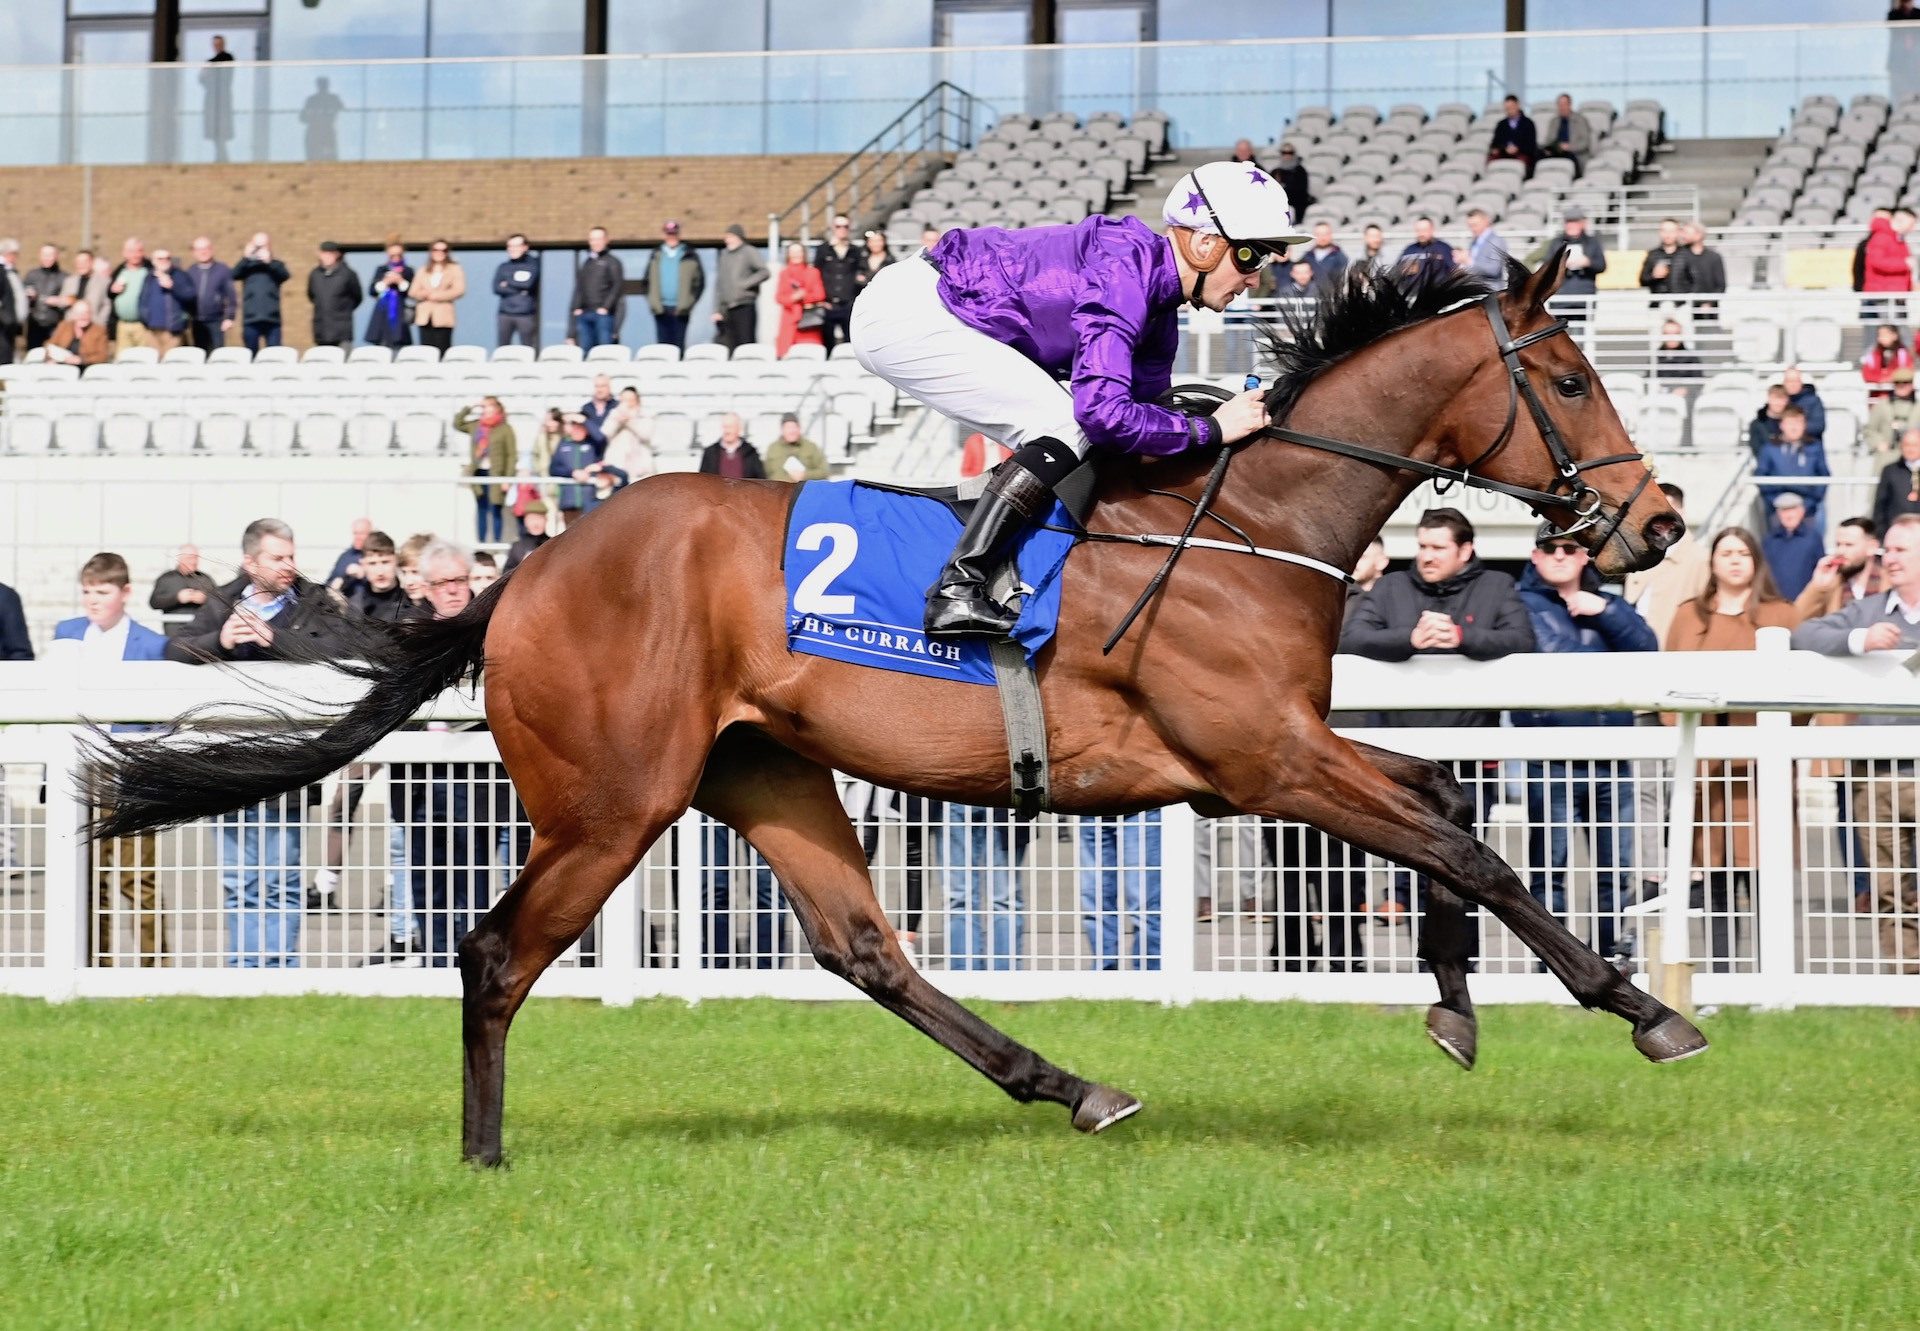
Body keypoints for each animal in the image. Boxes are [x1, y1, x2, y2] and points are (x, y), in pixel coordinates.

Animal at [90, 257, 1712, 1160]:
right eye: (1574, 376)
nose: (1659, 521)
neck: (1246, 520)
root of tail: (529, 566)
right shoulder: (1257, 759)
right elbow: (1466, 840)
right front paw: (1642, 1006)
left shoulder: (1273, 753)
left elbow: (1448, 803)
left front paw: (1456, 1003)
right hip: (611, 799)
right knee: (495, 952)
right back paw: (485, 1158)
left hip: (764, 772)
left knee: (865, 947)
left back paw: (1074, 1085)